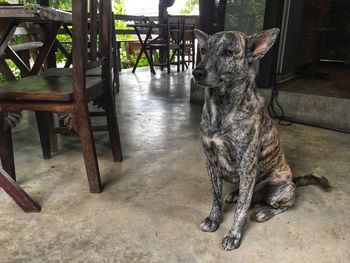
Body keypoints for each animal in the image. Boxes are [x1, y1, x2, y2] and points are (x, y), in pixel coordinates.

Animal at [193, 28, 330, 252]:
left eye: (228, 52)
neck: (222, 107)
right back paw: (235, 194)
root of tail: (293, 180)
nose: (197, 73)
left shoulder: (248, 167)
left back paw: (264, 211)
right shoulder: (211, 163)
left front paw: (234, 235)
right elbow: (216, 197)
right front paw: (213, 220)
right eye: (203, 50)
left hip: (276, 191)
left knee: (281, 205)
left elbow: (241, 210)